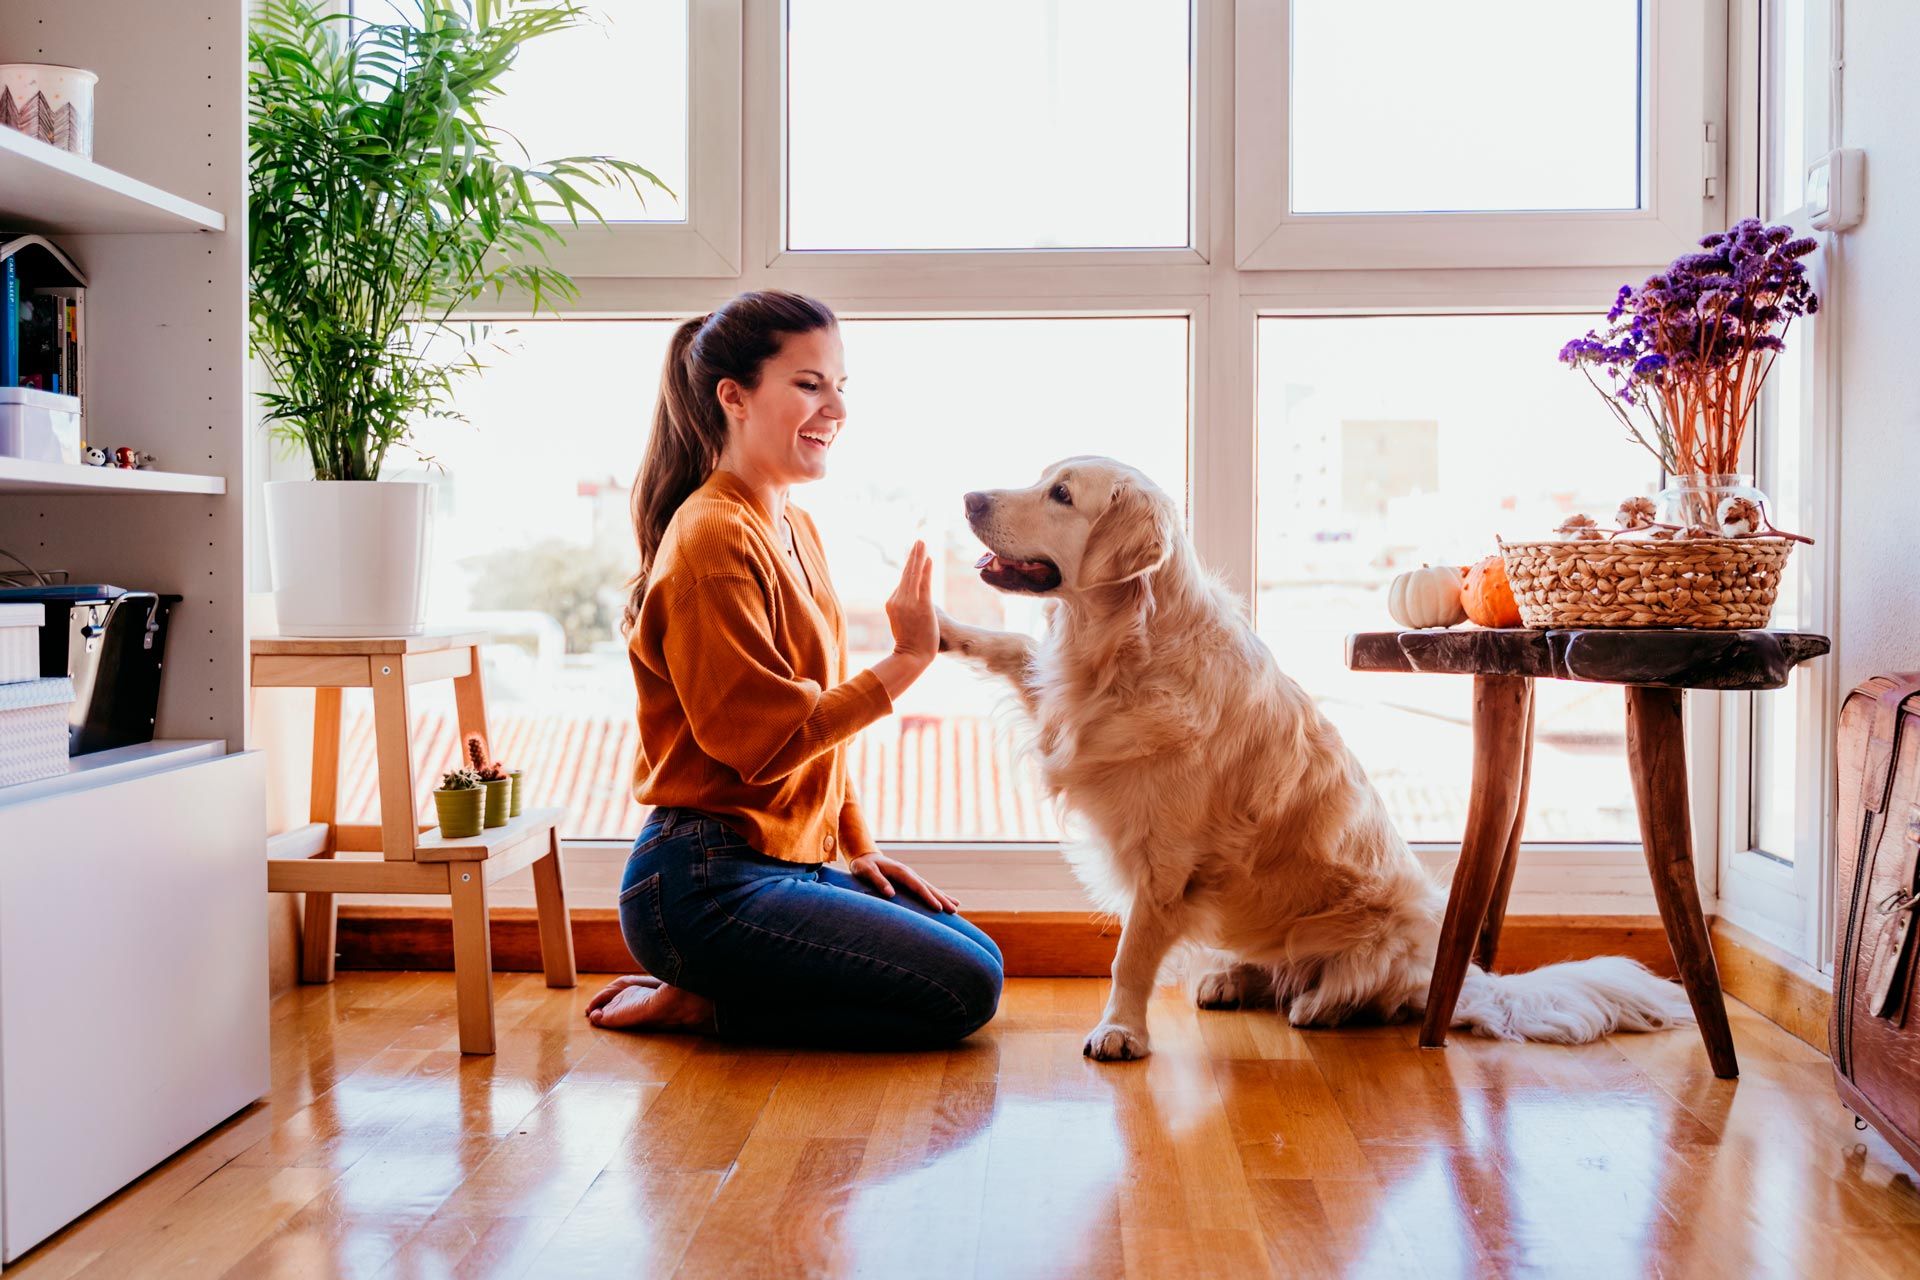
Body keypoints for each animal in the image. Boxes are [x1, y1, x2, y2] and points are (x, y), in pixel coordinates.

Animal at [936, 460, 1689, 1059]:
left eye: (1061, 493)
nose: (967, 497)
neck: (1123, 648)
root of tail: (1456, 975)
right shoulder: (1062, 704)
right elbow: (1011, 649)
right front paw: (940, 626)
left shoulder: (1166, 863)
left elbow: (1131, 956)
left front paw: (1120, 1031)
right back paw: (1231, 979)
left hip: (1385, 929)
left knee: (1366, 991)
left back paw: (1319, 1005)